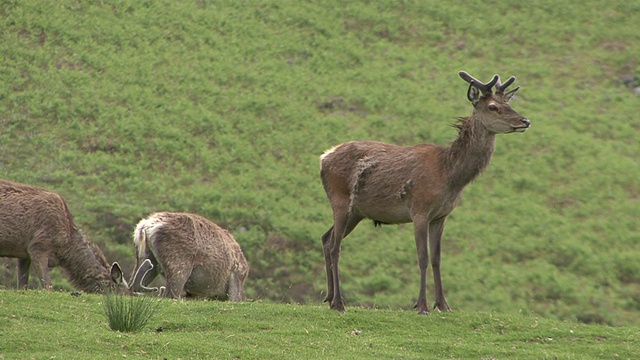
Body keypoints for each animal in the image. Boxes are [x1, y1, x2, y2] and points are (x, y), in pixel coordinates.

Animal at [320, 71, 528, 314]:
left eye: (508, 103)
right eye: (493, 107)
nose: (525, 121)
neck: (450, 176)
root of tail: (324, 158)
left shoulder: (441, 216)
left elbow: (437, 258)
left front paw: (444, 304)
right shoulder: (419, 210)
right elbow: (422, 257)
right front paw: (421, 305)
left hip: (356, 212)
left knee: (326, 239)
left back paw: (329, 297)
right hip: (340, 199)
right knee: (336, 246)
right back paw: (339, 302)